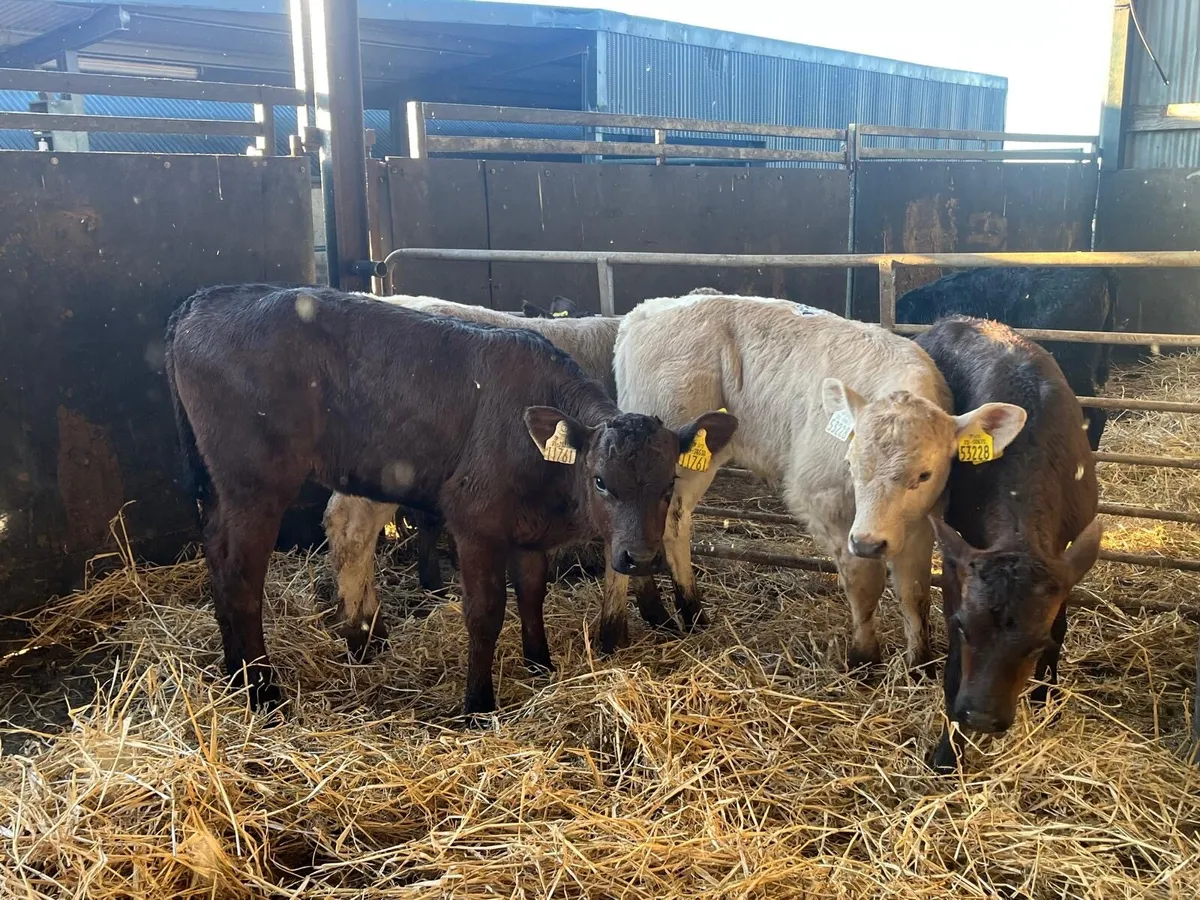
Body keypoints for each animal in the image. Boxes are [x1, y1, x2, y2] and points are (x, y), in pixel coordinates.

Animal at [608, 293, 1025, 670]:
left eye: (923, 475)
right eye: (851, 464)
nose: (869, 542)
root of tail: (647, 311)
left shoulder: (923, 520)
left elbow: (914, 588)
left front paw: (920, 662)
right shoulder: (824, 501)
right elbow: (864, 580)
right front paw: (864, 657)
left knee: (670, 523)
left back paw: (675, 613)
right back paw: (664, 613)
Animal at [916, 317, 1102, 772]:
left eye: (1037, 643)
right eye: (963, 627)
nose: (982, 717)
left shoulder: (1065, 555)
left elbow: (1062, 624)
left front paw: (1045, 696)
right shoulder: (958, 562)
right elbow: (954, 670)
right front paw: (948, 753)